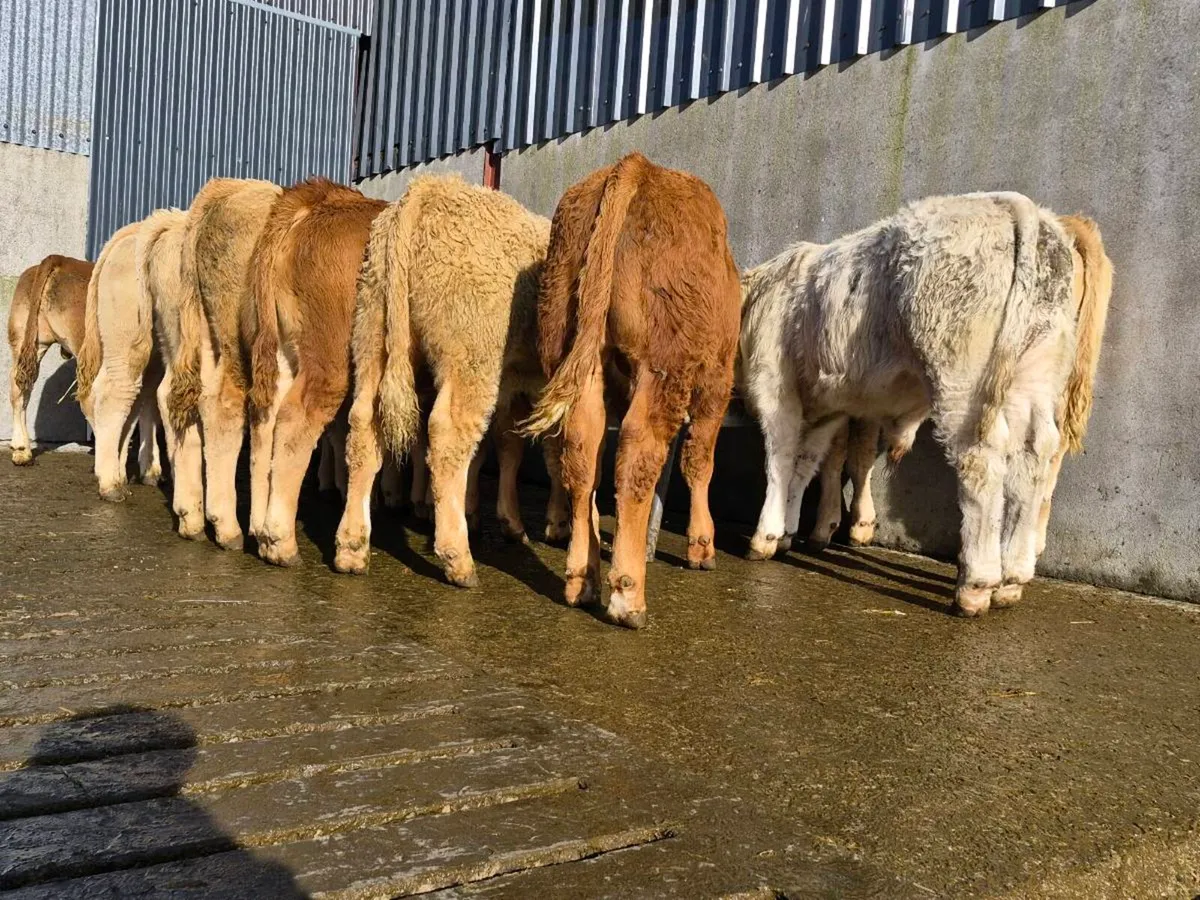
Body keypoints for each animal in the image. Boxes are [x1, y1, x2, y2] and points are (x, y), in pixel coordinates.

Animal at [247, 179, 387, 567]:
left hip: (282, 350)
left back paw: (258, 529)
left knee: (265, 417)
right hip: (329, 358)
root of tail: (320, 199)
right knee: (296, 419)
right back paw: (281, 541)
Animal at [333, 174, 567, 586]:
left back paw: (352, 548)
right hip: (471, 356)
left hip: (373, 333)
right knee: (447, 437)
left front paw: (508, 520)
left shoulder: (517, 387)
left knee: (364, 425)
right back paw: (457, 557)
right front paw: (559, 526)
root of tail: (430, 187)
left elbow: (508, 448)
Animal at [522, 152, 742, 630]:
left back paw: (581, 579)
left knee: (582, 453)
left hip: (574, 352)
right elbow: (700, 461)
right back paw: (628, 595)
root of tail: (637, 167)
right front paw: (702, 545)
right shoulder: (716, 380)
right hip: (664, 364)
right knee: (638, 454)